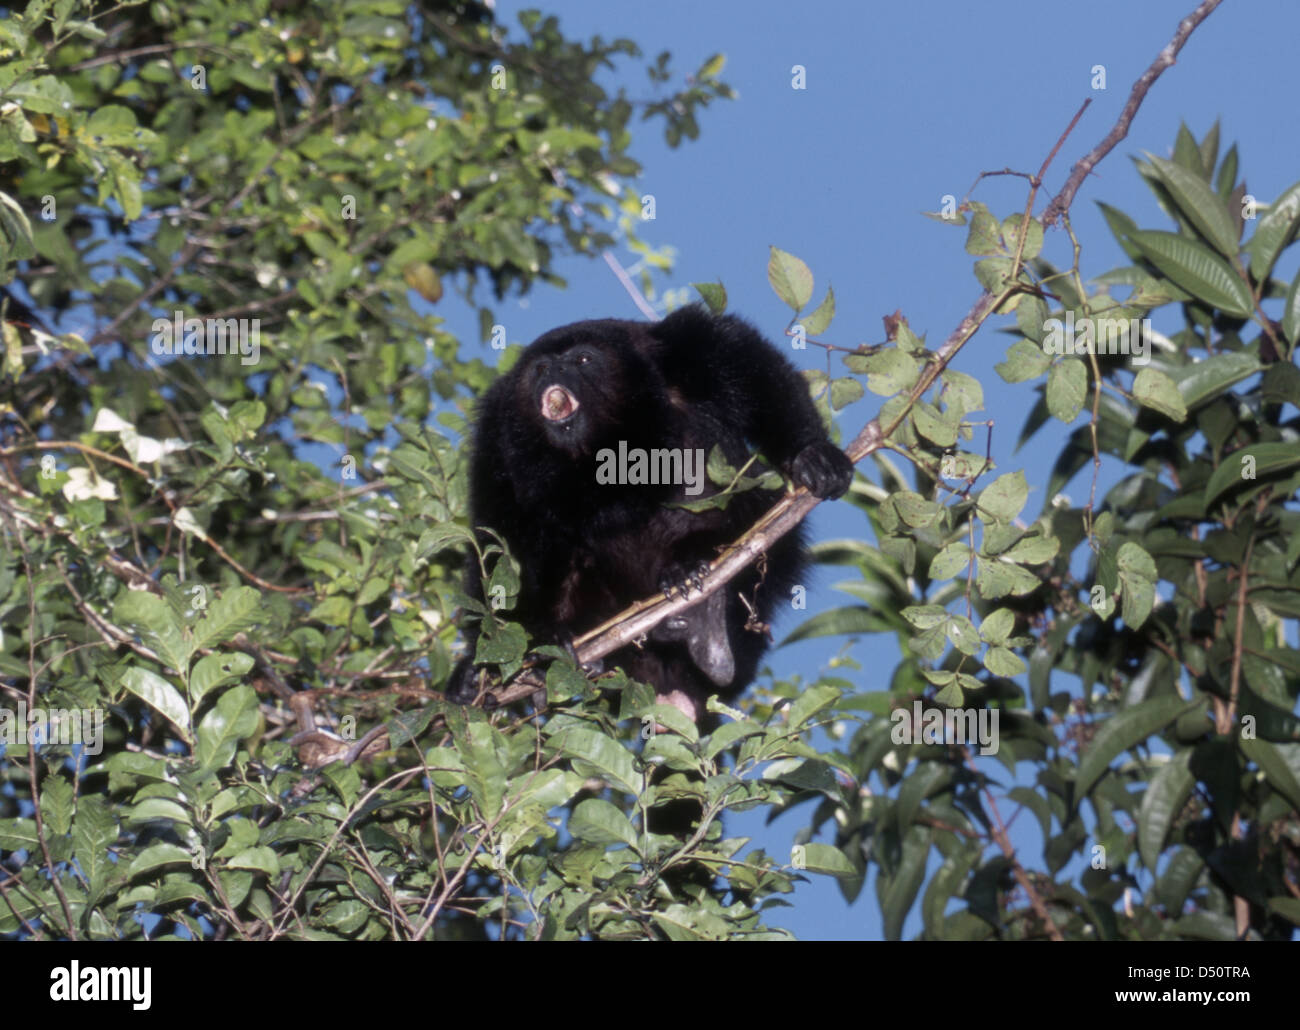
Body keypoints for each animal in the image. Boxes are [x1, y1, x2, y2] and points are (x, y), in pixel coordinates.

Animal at [447, 305, 852, 717]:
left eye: (582, 359)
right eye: (540, 367)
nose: (553, 371)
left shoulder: (677, 347)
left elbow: (744, 357)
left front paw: (810, 452)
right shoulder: (497, 430)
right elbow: (495, 534)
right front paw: (489, 663)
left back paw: (700, 594)